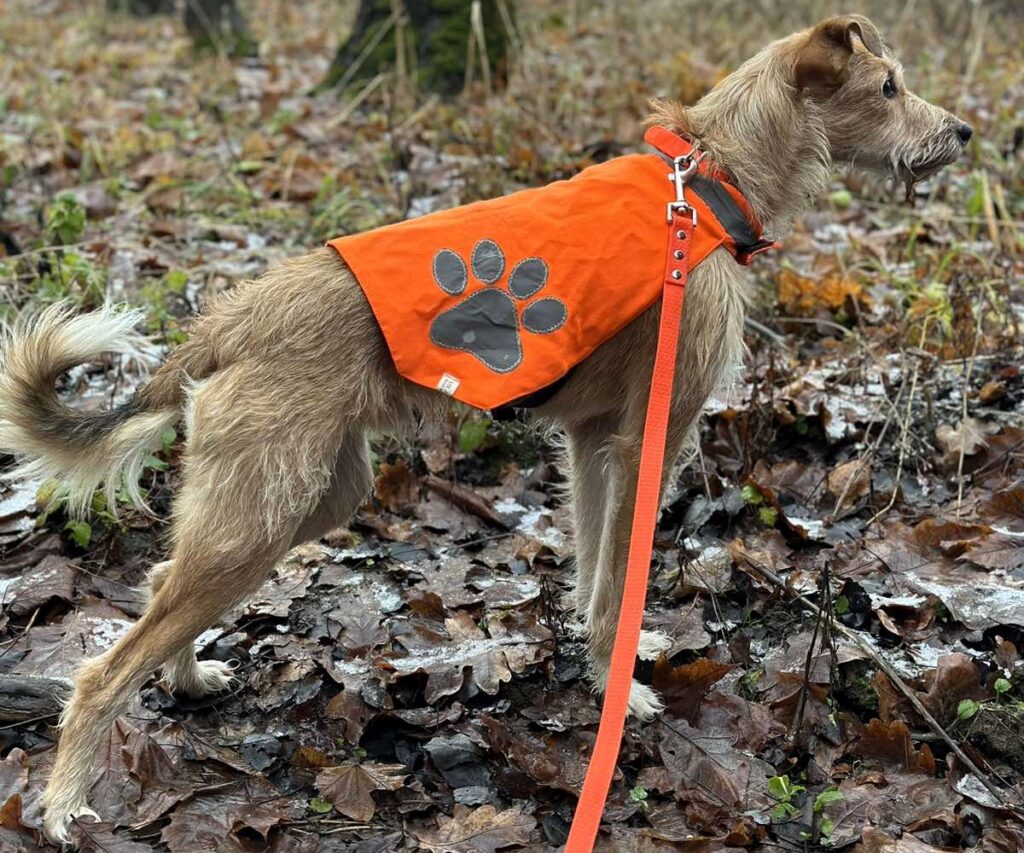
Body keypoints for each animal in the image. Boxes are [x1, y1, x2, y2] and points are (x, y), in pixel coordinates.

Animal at [0, 13, 970, 839]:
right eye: (888, 87)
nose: (962, 133)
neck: (705, 181)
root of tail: (231, 318)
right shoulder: (647, 439)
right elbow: (619, 579)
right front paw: (624, 693)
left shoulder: (593, 441)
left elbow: (592, 570)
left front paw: (605, 661)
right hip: (261, 516)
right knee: (102, 669)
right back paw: (64, 800)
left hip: (307, 496)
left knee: (163, 576)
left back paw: (188, 676)